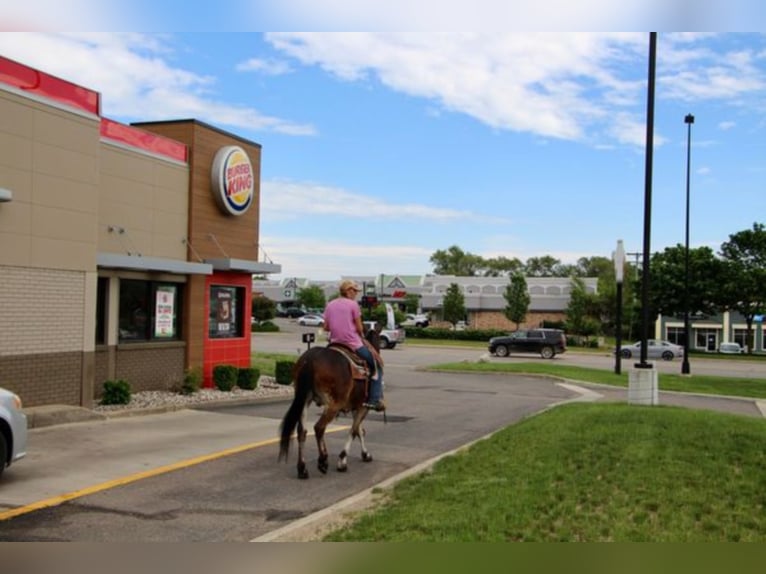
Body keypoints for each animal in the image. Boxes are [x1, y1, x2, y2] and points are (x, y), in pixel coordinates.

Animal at [280, 328, 384, 482]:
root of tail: (310, 359)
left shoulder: (356, 407)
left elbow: (359, 430)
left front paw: (365, 454)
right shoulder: (363, 407)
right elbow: (354, 431)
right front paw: (342, 461)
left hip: (304, 400)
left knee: (302, 431)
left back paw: (302, 469)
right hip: (333, 405)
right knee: (319, 428)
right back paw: (323, 461)